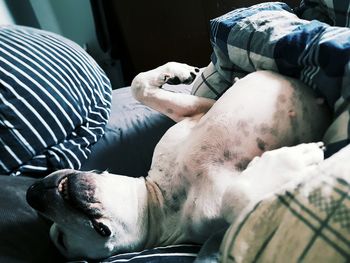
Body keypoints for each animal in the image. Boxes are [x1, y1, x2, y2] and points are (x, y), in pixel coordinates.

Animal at [26, 62, 330, 260]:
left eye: (58, 237)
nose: (32, 194)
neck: (159, 200)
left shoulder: (194, 112)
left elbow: (139, 85)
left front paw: (176, 72)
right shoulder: (211, 225)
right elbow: (237, 198)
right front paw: (293, 160)